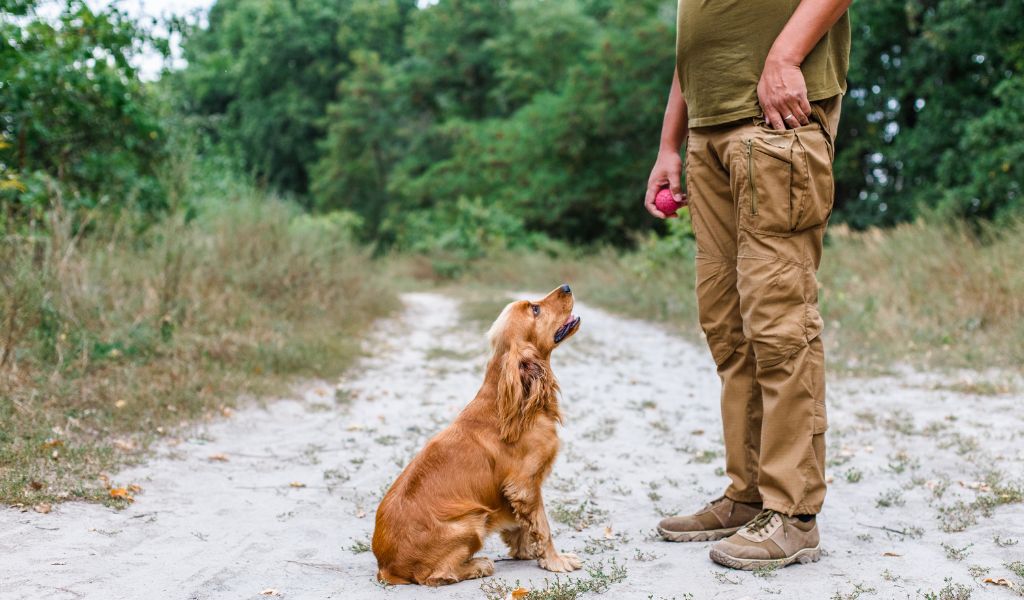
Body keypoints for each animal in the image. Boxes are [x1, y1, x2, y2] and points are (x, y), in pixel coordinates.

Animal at [374, 282, 585, 581]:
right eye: (535, 309)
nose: (566, 286)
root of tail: (386, 566)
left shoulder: (515, 491)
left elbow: (522, 525)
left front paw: (524, 551)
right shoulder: (525, 483)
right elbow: (543, 527)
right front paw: (556, 561)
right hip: (472, 521)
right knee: (436, 575)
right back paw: (478, 565)